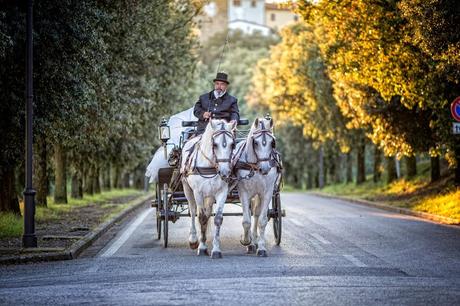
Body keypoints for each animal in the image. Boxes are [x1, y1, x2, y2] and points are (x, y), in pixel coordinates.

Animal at [181, 119, 235, 258]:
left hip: (210, 195)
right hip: (187, 188)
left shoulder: (221, 192)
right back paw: (193, 239)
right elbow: (201, 217)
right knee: (193, 211)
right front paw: (202, 247)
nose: (225, 172)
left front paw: (216, 250)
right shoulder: (198, 192)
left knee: (208, 211)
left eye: (232, 145)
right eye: (215, 144)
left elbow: (217, 219)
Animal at [234, 117, 280, 256]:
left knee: (256, 213)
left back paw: (254, 242)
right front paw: (245, 241)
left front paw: (261, 247)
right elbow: (246, 221)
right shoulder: (244, 192)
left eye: (272, 143)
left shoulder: (267, 192)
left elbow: (262, 220)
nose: (264, 169)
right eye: (255, 142)